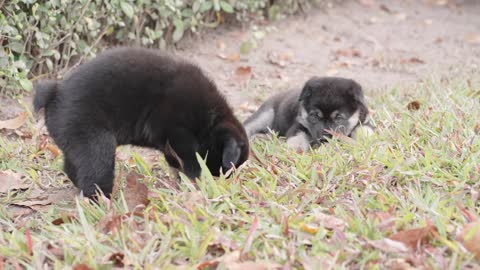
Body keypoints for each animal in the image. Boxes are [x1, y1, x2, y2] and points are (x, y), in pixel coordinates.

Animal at [33, 47, 249, 198]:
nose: (220, 182)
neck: (211, 120)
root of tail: (54, 94)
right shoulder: (179, 133)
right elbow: (190, 160)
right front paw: (194, 179)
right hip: (96, 144)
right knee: (94, 175)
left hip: (77, 144)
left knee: (72, 167)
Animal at [244, 77, 376, 151]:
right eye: (315, 116)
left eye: (338, 117)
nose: (324, 139)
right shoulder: (299, 124)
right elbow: (298, 136)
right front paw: (296, 148)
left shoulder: (364, 120)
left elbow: (364, 129)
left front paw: (365, 141)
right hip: (266, 114)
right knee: (249, 125)